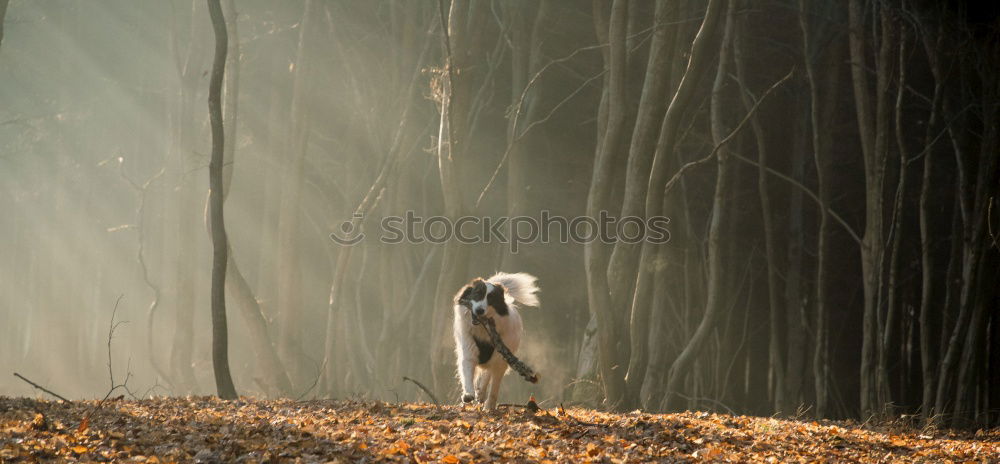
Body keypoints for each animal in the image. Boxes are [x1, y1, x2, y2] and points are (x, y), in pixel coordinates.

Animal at [454, 272, 540, 410]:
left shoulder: (500, 361)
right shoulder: (468, 351)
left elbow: (494, 386)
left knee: (488, 374)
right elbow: (468, 374)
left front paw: (489, 407)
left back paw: (482, 394)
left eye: (491, 299)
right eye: (478, 293)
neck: (483, 330)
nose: (479, 311)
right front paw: (468, 395)